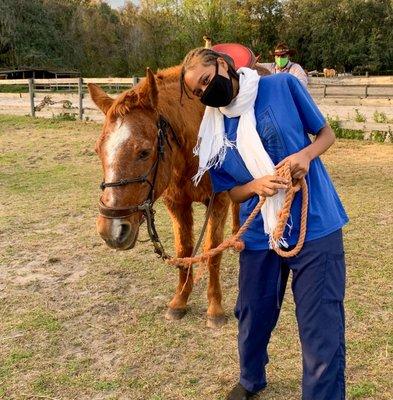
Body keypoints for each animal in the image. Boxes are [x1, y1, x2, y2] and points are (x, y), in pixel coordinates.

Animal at [89, 66, 237, 328]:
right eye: (98, 151)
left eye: (144, 152)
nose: (111, 231)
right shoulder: (177, 204)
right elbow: (184, 251)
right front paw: (180, 301)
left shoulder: (218, 202)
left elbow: (212, 253)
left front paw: (215, 308)